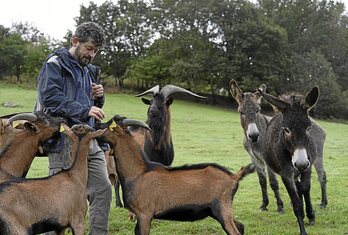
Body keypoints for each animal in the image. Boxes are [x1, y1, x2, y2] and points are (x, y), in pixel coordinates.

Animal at [96, 115, 254, 235]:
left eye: (108, 125)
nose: (96, 125)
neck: (138, 173)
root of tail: (234, 177)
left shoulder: (144, 215)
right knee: (241, 226)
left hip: (222, 208)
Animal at [256, 86, 320, 235]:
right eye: (286, 129)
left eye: (308, 128)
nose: (300, 164)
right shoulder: (286, 174)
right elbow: (296, 204)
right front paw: (303, 229)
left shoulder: (308, 166)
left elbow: (306, 188)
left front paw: (311, 215)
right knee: (297, 187)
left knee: (302, 188)